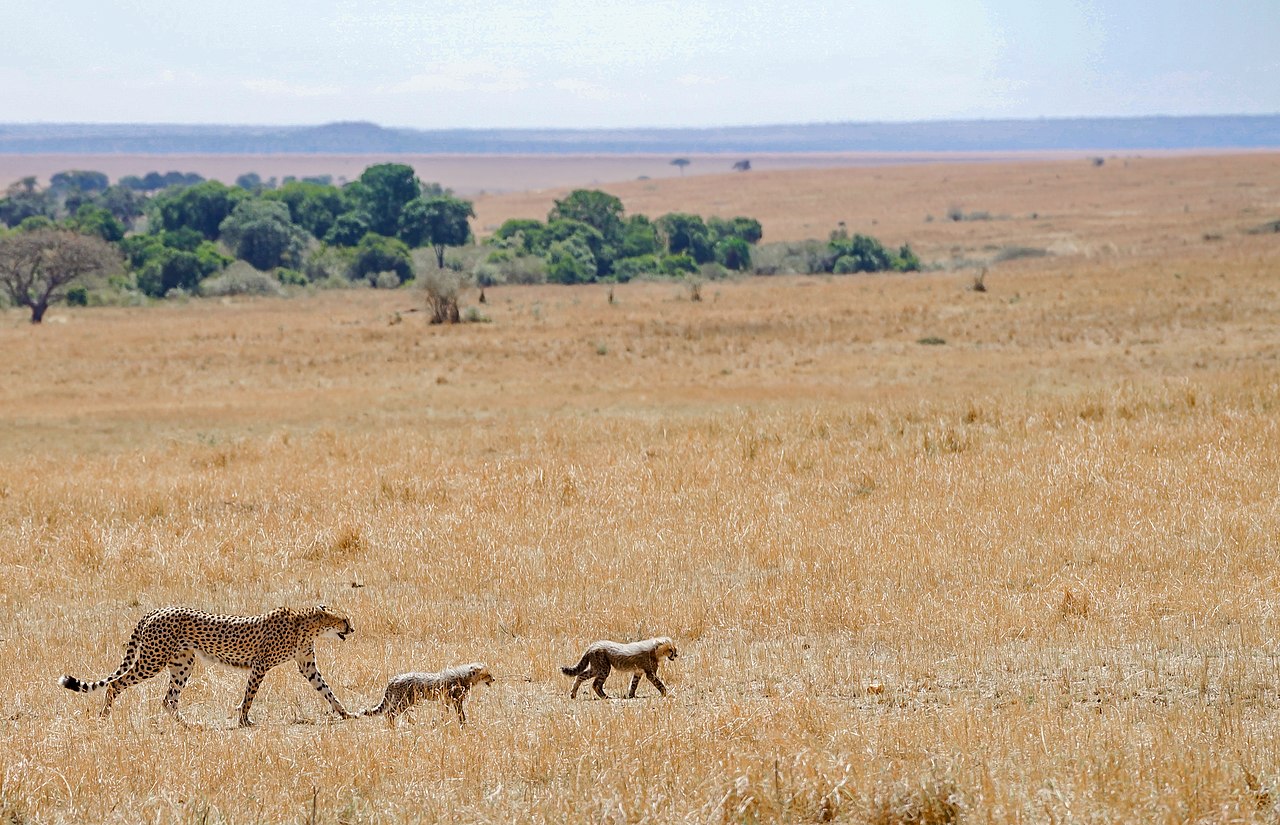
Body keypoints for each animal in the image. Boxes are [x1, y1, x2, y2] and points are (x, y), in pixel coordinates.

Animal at [58, 604, 353, 727]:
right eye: (344, 620)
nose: (352, 629)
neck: (308, 625)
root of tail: (156, 610)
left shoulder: (307, 666)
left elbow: (327, 690)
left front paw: (346, 713)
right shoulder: (259, 665)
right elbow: (249, 696)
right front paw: (244, 720)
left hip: (182, 663)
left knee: (168, 699)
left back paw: (190, 726)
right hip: (152, 660)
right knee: (115, 684)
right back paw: (104, 716)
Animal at [361, 663, 494, 725]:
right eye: (487, 675)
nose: (494, 679)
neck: (465, 677)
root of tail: (395, 678)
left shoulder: (446, 700)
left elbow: (444, 713)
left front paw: (442, 723)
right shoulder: (457, 701)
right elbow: (461, 715)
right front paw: (464, 725)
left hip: (408, 701)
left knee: (399, 713)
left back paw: (412, 722)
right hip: (405, 700)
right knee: (389, 713)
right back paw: (393, 729)